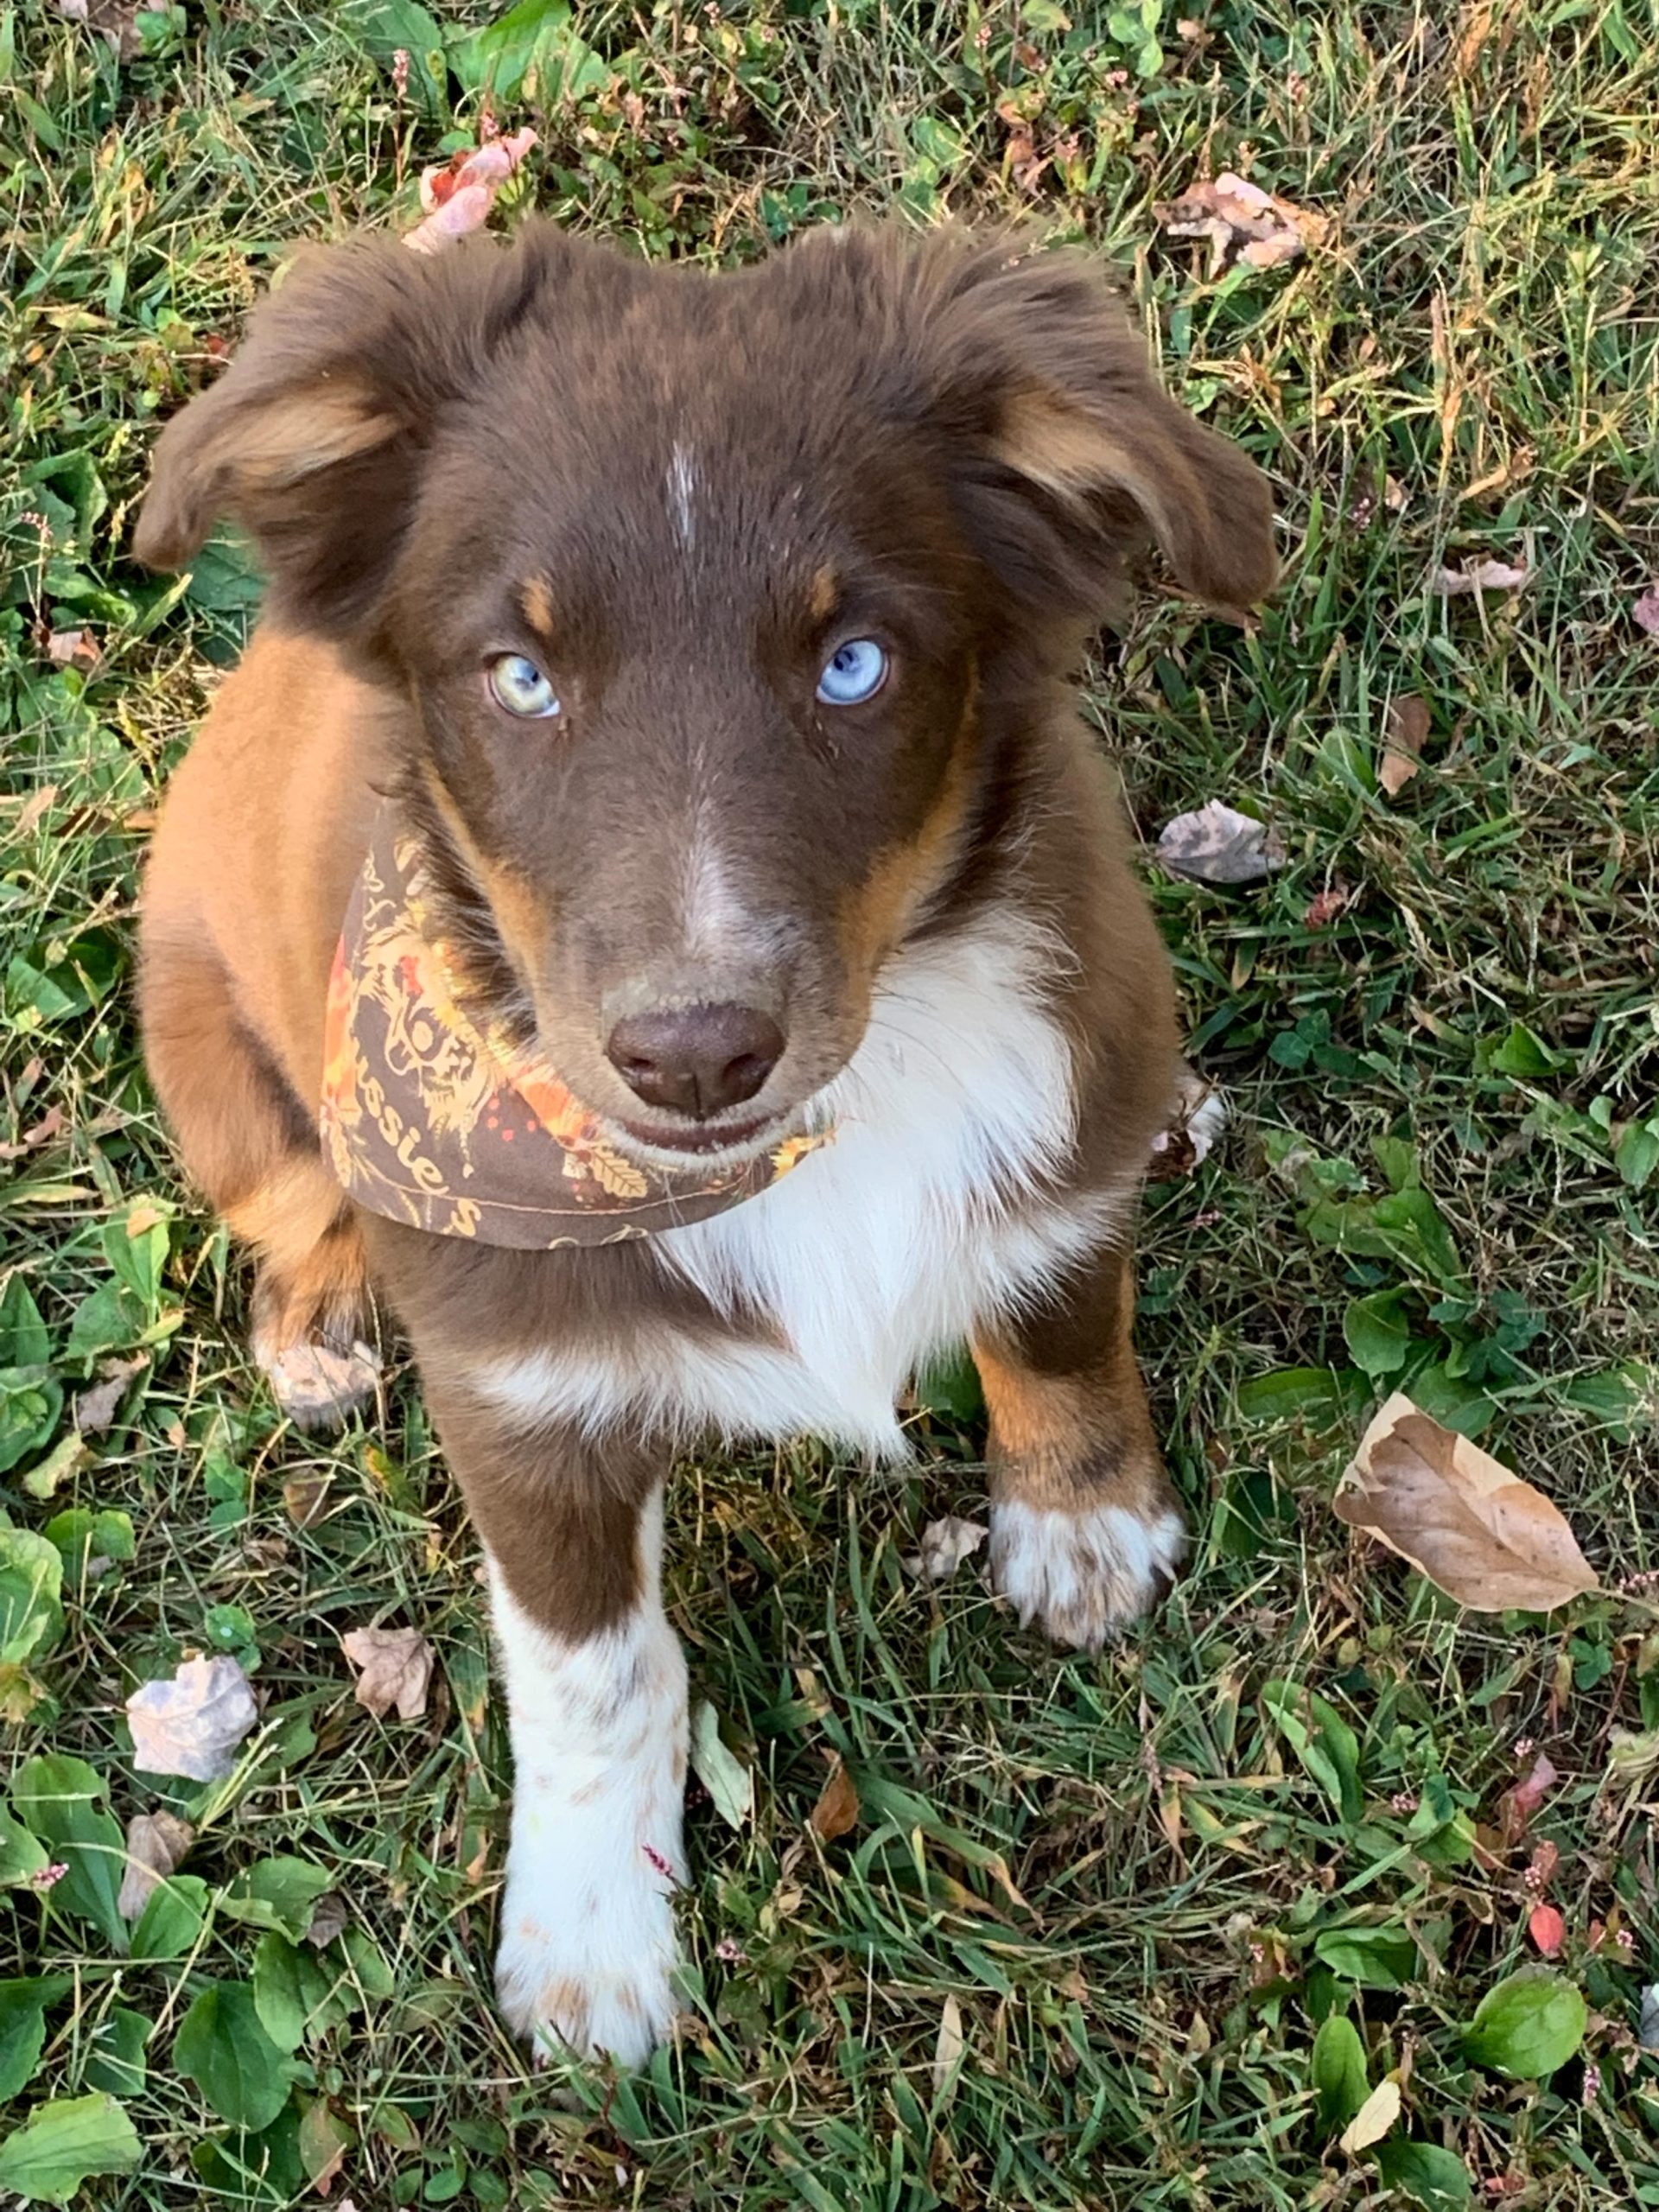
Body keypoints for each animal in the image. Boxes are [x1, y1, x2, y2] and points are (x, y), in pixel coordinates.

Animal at [133, 219, 1275, 2066]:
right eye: (521, 676)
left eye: (853, 661)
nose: (693, 1056)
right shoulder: (523, 1399)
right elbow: (593, 1675)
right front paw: (594, 1942)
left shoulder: (1075, 1092)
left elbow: (1057, 1312)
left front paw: (1084, 1524)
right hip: (219, 1061)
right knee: (294, 1206)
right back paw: (313, 1325)